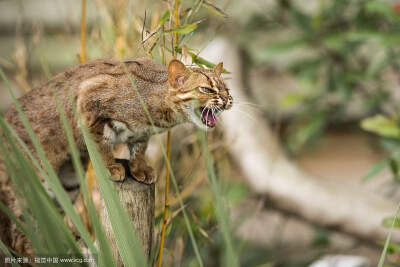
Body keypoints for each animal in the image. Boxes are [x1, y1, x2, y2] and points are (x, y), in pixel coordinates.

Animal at [0, 57, 231, 255]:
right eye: (206, 89)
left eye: (227, 90)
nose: (227, 100)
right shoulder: (88, 97)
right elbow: (100, 143)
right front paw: (110, 166)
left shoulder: (142, 133)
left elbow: (139, 148)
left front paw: (139, 169)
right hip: (30, 185)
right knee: (18, 235)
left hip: (67, 183)